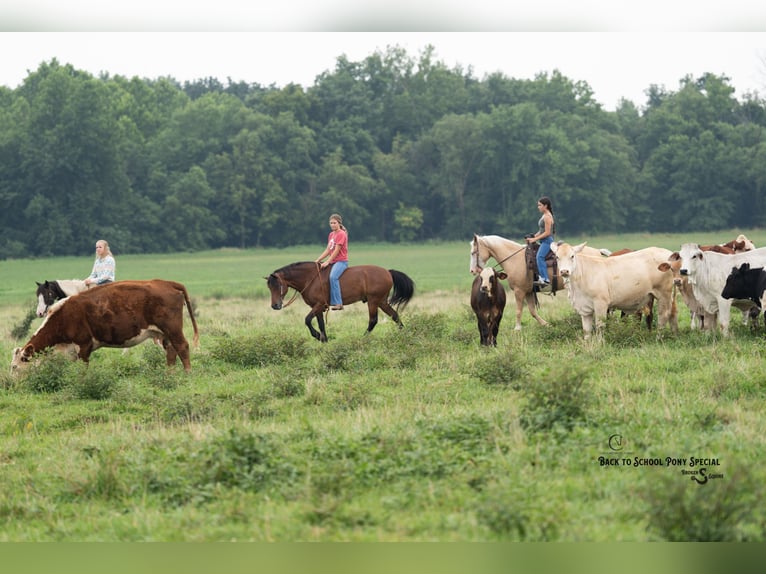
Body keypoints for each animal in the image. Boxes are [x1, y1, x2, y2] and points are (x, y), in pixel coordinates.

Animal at [265, 262, 415, 342]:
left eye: (278, 285)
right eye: (269, 287)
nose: (275, 305)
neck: (310, 278)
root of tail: (388, 272)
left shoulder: (318, 305)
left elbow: (307, 320)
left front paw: (317, 336)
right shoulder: (317, 307)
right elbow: (321, 324)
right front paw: (324, 340)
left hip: (373, 301)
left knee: (373, 320)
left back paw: (362, 338)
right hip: (382, 301)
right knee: (395, 315)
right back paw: (404, 335)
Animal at [469, 234, 610, 331]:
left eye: (473, 252)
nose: (472, 270)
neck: (514, 259)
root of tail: (598, 251)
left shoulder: (519, 291)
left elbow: (518, 310)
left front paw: (517, 329)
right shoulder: (528, 292)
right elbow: (532, 311)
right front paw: (546, 324)